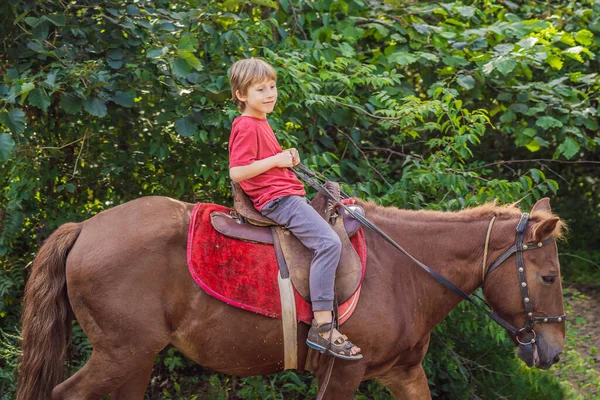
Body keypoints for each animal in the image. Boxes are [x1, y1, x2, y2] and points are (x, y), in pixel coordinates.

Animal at [16, 195, 564, 398]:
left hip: (135, 357)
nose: (554, 352)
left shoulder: (403, 373)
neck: (405, 271)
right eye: (549, 278)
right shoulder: (344, 373)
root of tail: (86, 227)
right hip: (121, 353)